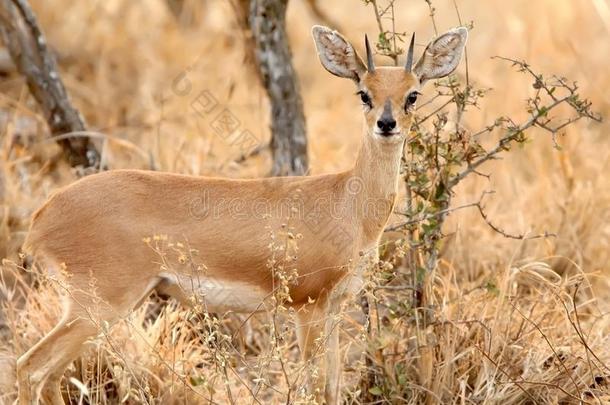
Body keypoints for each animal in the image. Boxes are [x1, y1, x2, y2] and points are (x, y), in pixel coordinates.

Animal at [17, 24, 466, 404]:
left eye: (412, 94)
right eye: (363, 93)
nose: (386, 123)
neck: (347, 204)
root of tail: (41, 217)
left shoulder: (336, 307)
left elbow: (333, 387)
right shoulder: (306, 306)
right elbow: (313, 387)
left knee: (48, 375)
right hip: (99, 305)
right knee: (29, 366)